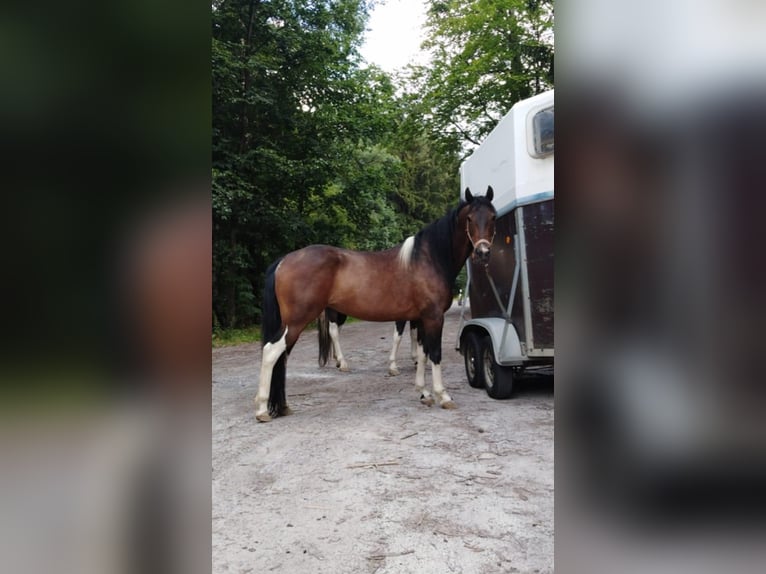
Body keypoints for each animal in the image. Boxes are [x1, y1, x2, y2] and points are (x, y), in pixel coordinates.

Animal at [258, 189, 498, 424]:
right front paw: (443, 396)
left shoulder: (421, 319)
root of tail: (283, 261)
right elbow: (435, 354)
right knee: (271, 352)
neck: (429, 258)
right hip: (297, 322)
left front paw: (424, 393)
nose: (483, 253)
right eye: (469, 218)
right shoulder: (434, 317)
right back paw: (262, 410)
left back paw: (283, 406)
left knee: (282, 358)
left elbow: (422, 354)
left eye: (493, 217)